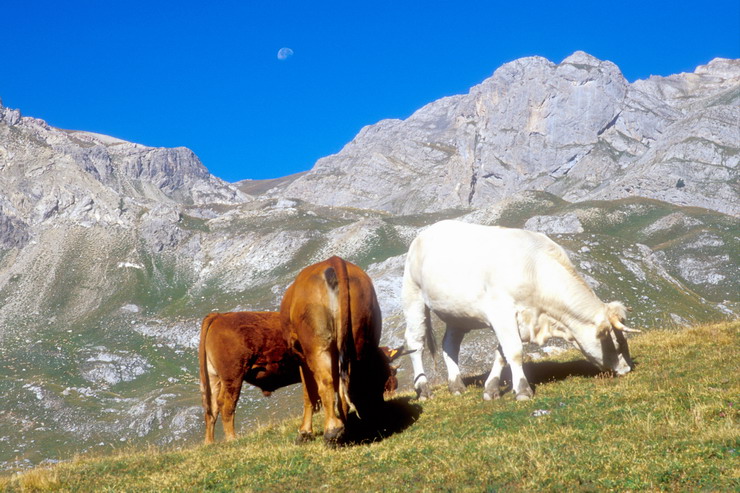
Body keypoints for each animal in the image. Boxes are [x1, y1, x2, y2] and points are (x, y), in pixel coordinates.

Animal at [199, 314, 300, 444]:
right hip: (233, 378)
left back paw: (209, 442)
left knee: (211, 409)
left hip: (214, 379)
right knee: (226, 405)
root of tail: (218, 315)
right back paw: (232, 438)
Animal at [278, 256, 394, 444]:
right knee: (351, 379)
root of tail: (335, 261)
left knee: (326, 382)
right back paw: (349, 426)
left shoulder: (301, 356)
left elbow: (308, 393)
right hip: (361, 338)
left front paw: (304, 432)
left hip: (317, 346)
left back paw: (333, 430)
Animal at [402, 219, 640, 400]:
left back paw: (456, 385)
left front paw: (491, 389)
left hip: (457, 313)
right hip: (413, 296)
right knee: (415, 343)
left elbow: (502, 354)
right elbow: (514, 351)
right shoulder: (501, 312)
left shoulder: (518, 319)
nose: (627, 369)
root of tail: (428, 231)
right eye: (616, 343)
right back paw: (423, 390)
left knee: (450, 345)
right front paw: (523, 391)